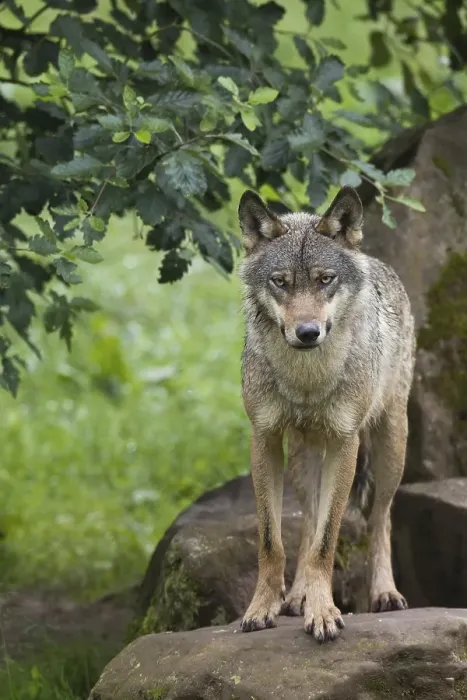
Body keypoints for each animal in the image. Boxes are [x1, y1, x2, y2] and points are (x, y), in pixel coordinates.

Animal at [238, 186, 415, 643]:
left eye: (325, 279)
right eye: (280, 282)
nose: (307, 332)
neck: (306, 379)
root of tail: (376, 262)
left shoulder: (344, 442)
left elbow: (328, 539)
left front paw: (324, 614)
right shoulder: (263, 439)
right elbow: (273, 540)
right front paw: (262, 608)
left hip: (391, 449)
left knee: (380, 518)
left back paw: (384, 592)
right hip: (302, 463)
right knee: (307, 522)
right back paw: (298, 595)